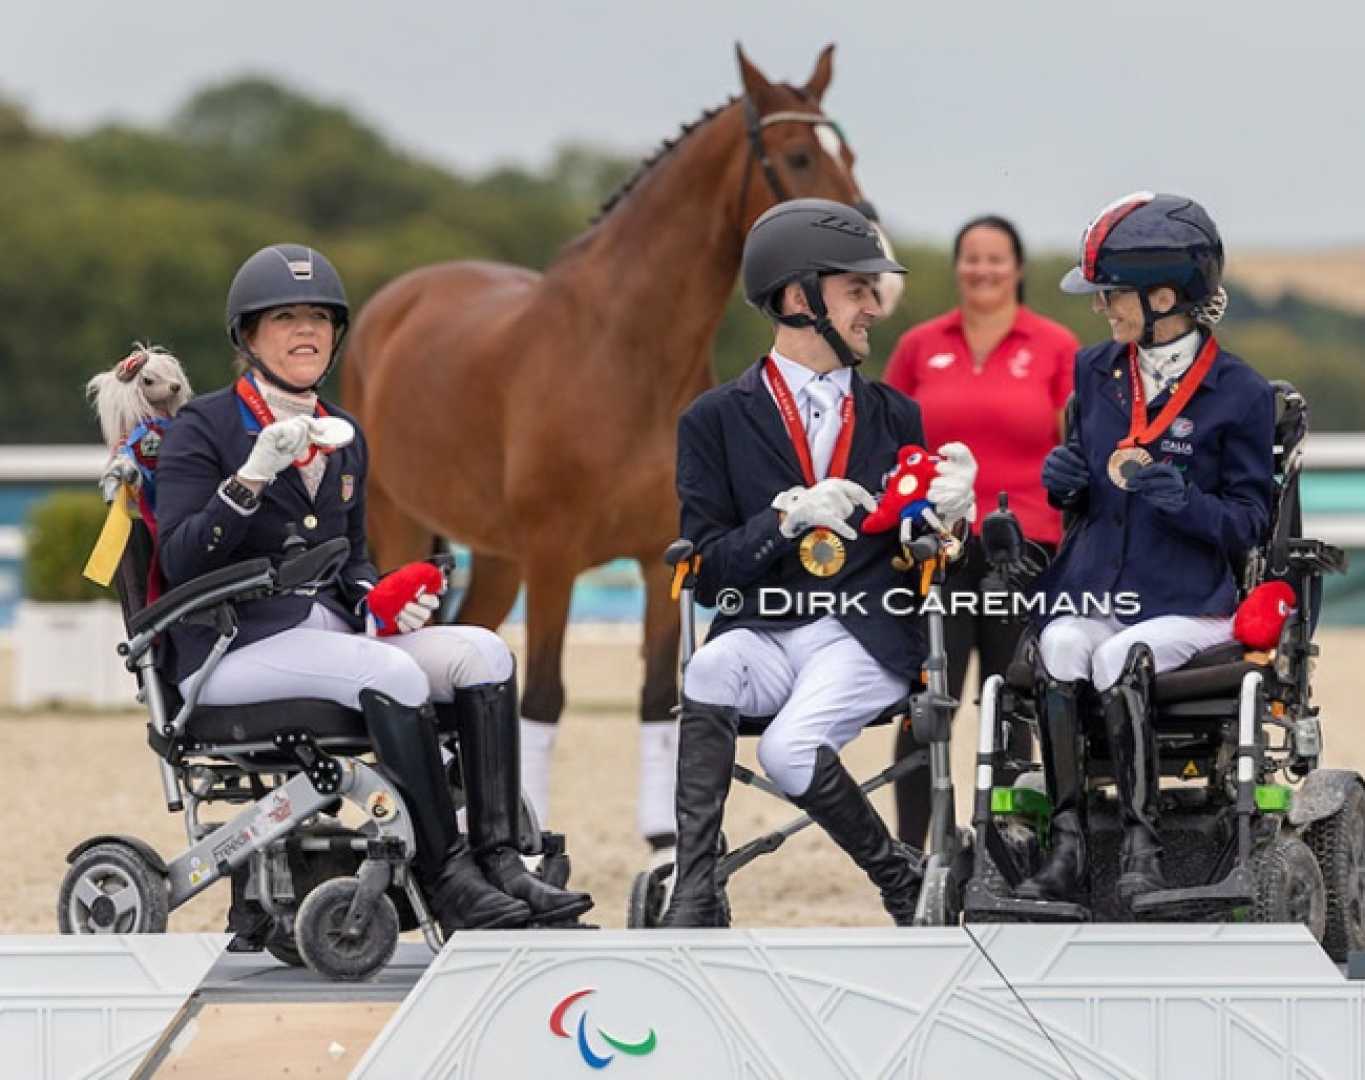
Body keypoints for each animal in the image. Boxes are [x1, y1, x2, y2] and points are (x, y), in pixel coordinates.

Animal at [341, 42, 873, 835]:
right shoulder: (554, 558)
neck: (623, 353)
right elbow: (542, 699)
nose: (874, 267)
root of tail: (393, 303)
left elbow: (658, 700)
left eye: (850, 152)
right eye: (800, 156)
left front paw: (661, 844)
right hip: (401, 526)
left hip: (498, 559)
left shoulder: (661, 560)